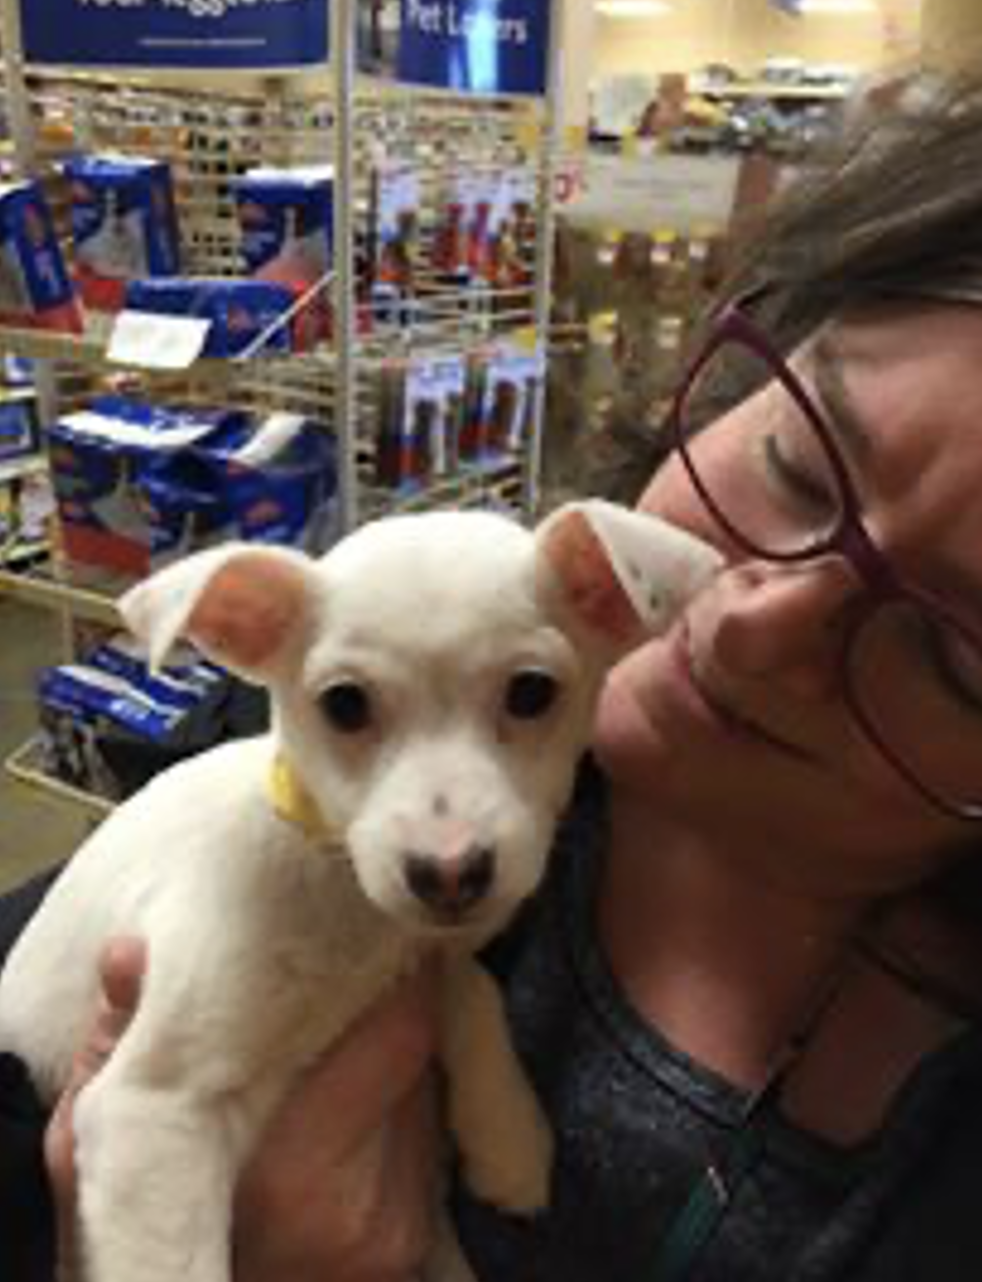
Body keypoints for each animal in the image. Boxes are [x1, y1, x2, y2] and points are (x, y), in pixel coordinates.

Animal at [0, 499, 723, 1282]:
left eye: (532, 692)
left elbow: (469, 986)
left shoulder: (424, 946)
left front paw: (508, 1134)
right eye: (344, 704)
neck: (345, 897)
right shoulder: (151, 1109)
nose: (450, 872)